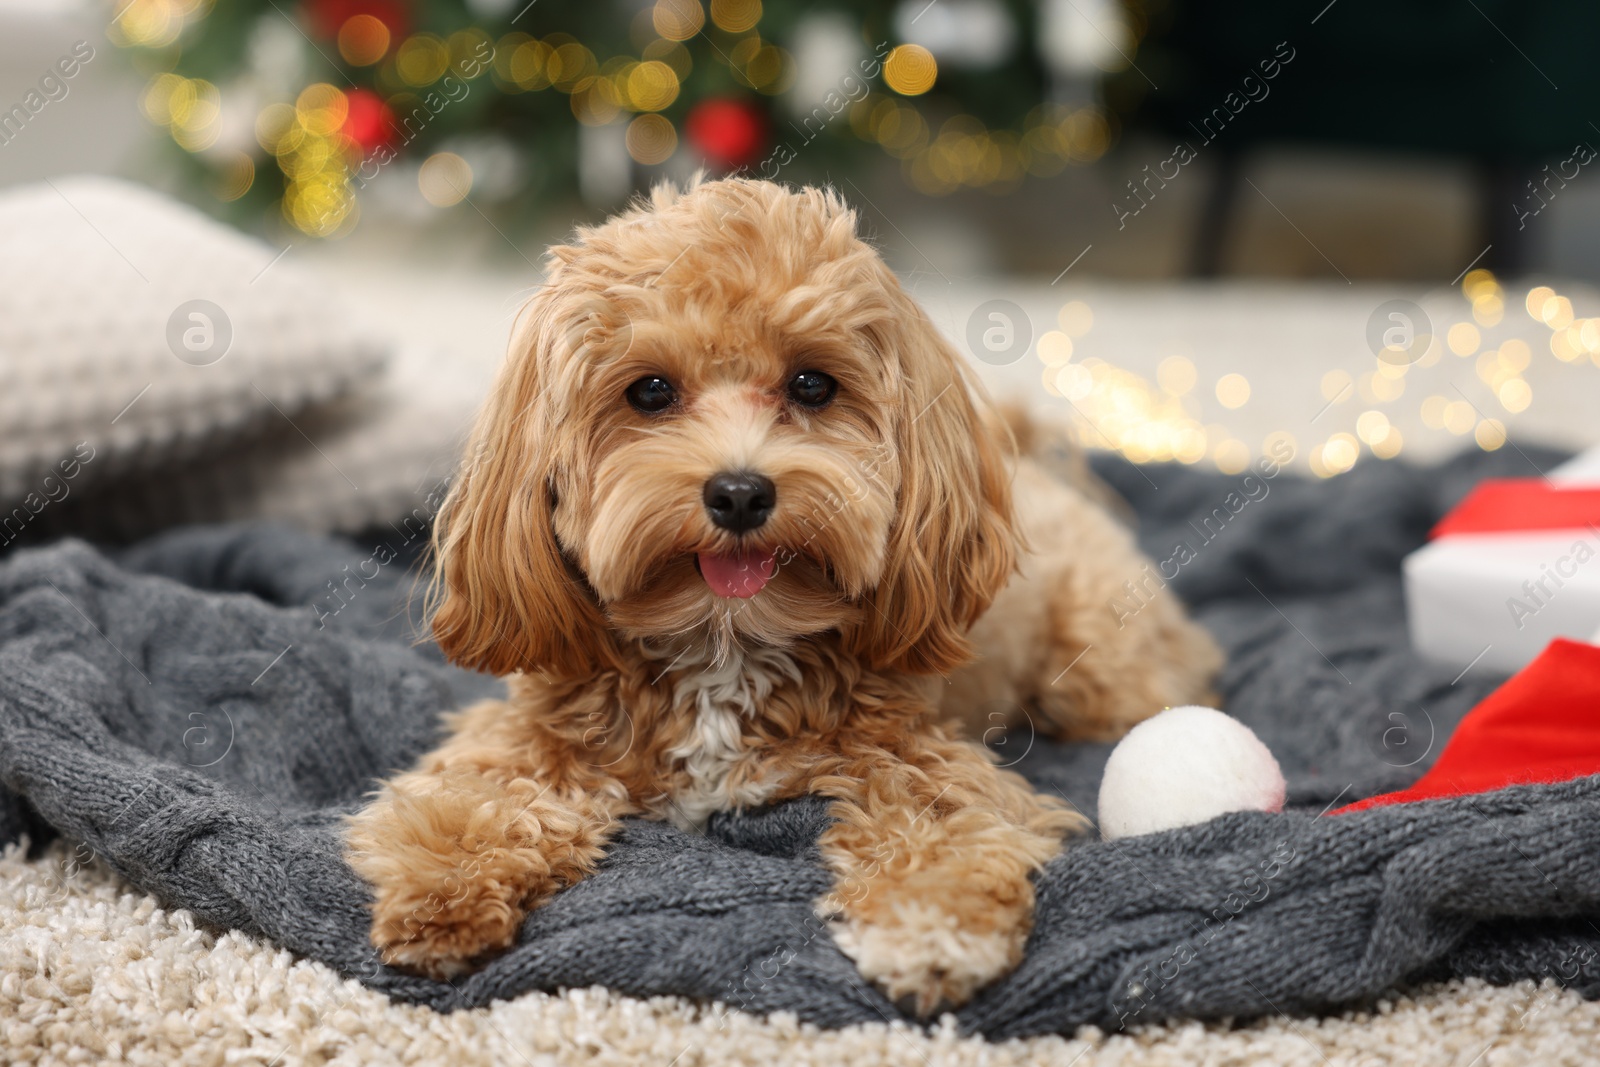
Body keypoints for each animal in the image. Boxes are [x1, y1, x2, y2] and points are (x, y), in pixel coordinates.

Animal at [350, 177, 1216, 1017]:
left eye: (812, 384)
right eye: (650, 391)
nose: (739, 493)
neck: (724, 644)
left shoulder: (915, 754)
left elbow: (943, 825)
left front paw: (931, 925)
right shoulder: (536, 731)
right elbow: (478, 795)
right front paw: (441, 891)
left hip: (1100, 670)